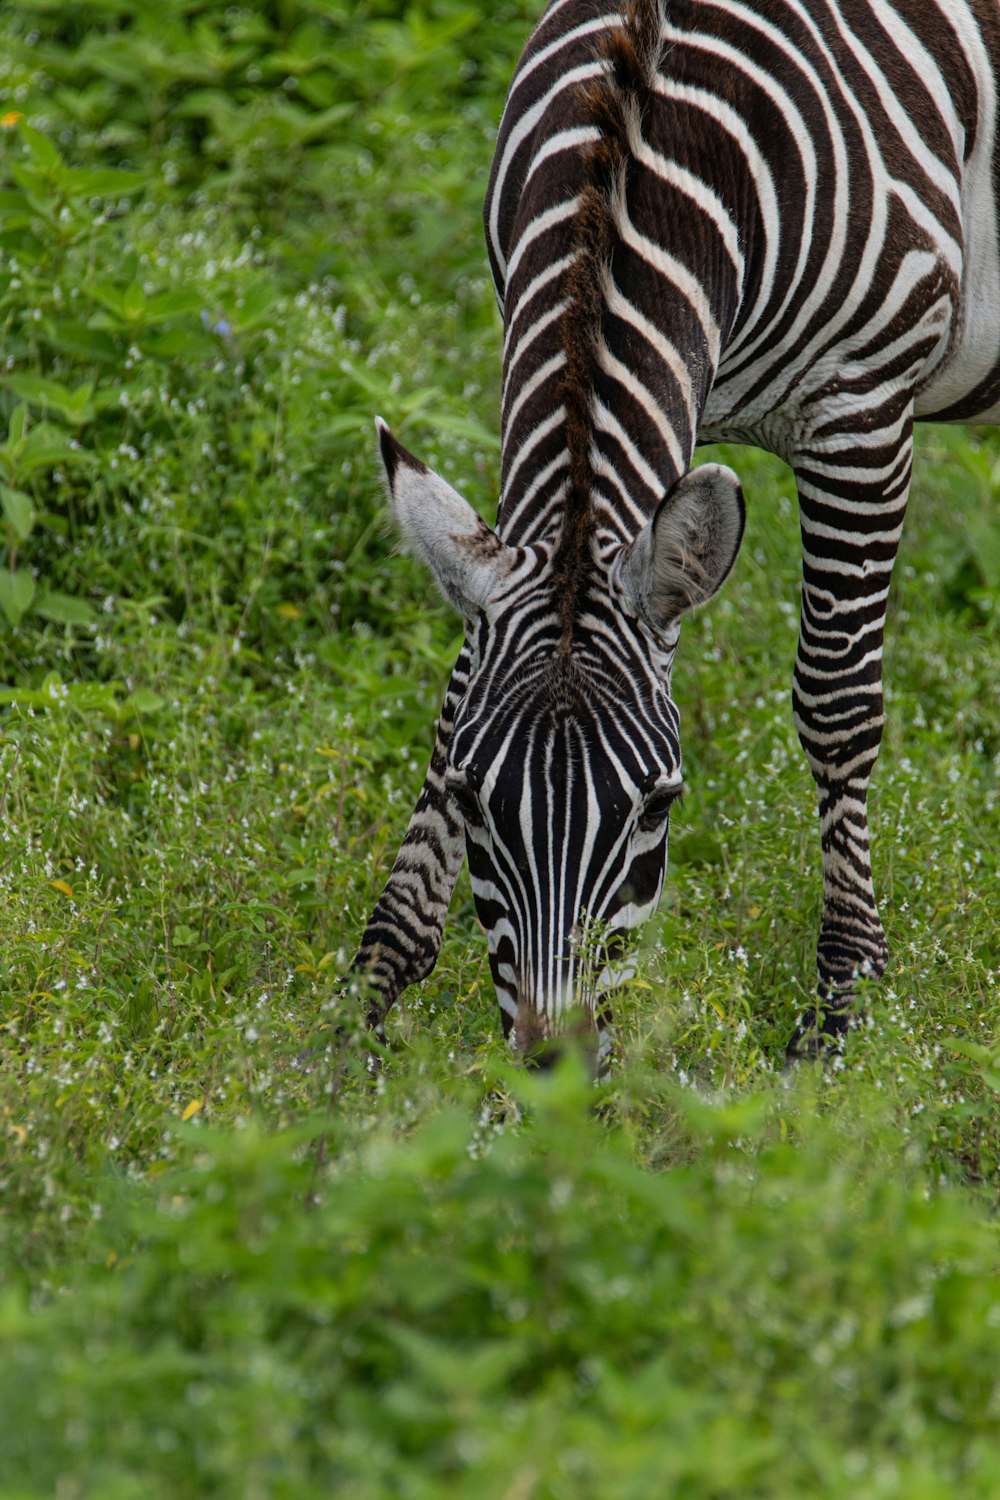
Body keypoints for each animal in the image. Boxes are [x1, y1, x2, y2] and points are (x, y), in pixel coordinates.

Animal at [347, 0, 995, 1062]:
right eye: (478, 800)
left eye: (660, 805)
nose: (554, 1067)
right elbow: (452, 701)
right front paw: (366, 995)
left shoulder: (860, 406)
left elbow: (838, 700)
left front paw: (845, 1008)